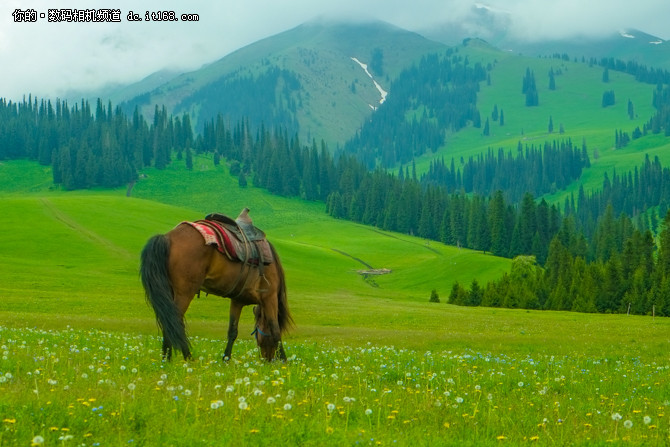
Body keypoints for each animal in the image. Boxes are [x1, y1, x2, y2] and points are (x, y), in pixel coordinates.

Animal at [140, 219, 292, 362]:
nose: (267, 359)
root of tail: (167, 238)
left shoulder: (237, 301)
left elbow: (232, 331)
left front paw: (226, 359)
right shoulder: (269, 297)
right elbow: (275, 330)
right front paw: (284, 360)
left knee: (169, 321)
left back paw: (166, 359)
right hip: (185, 292)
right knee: (175, 322)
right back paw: (186, 358)